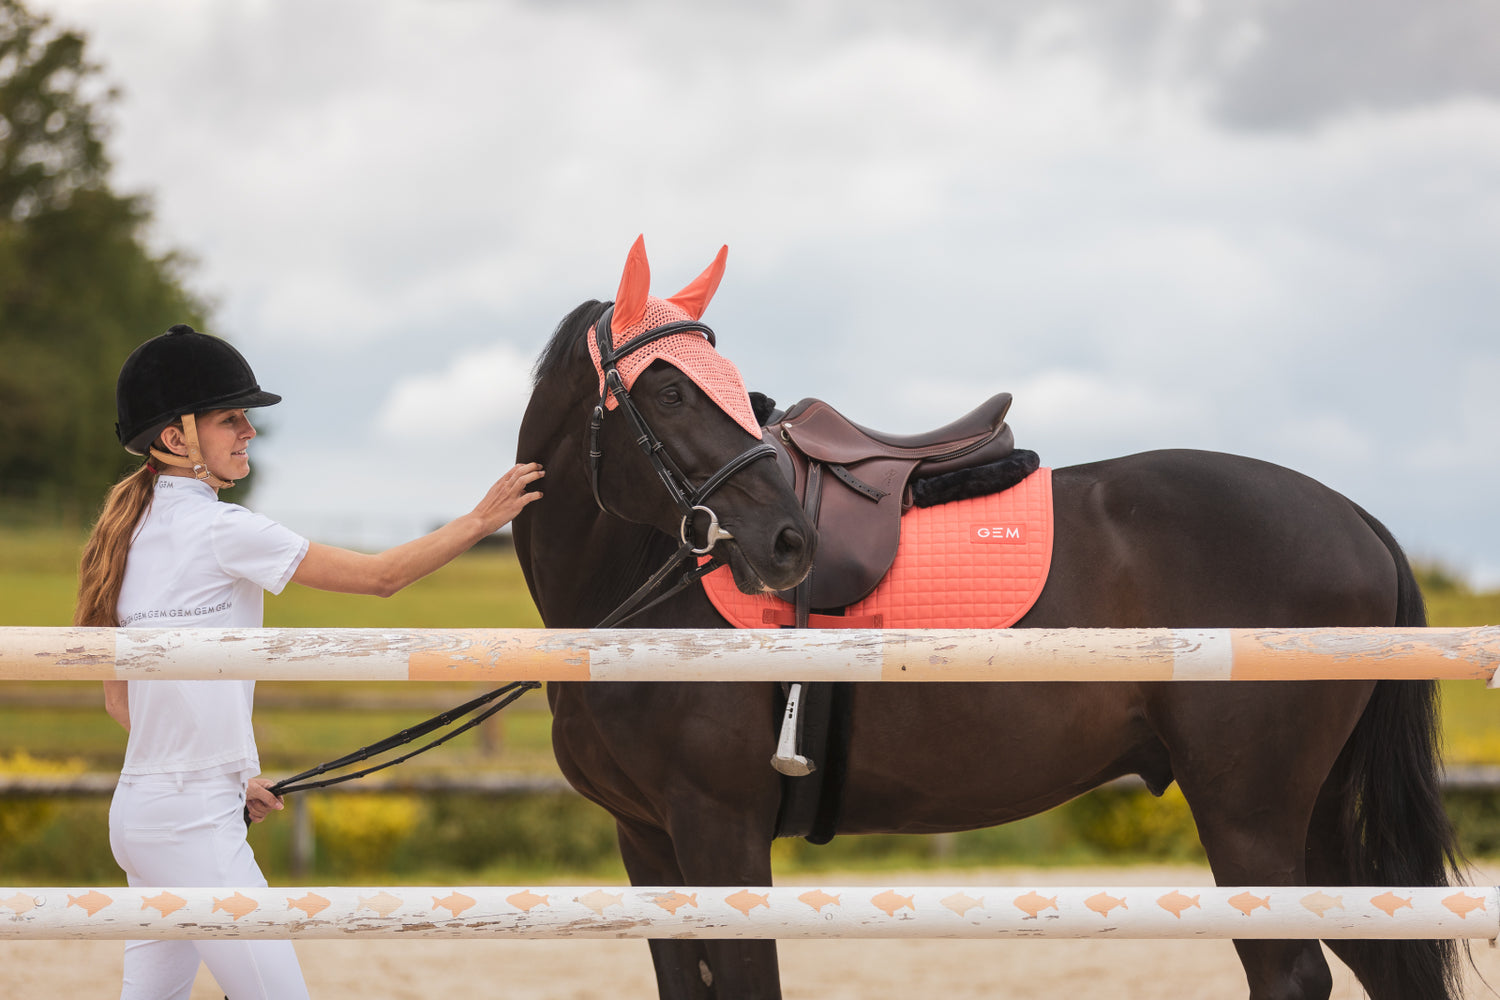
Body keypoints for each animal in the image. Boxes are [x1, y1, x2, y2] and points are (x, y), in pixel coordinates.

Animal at [516, 242, 1464, 1000]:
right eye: (670, 392)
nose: (789, 541)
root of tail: (1356, 518)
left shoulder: (720, 827)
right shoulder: (648, 841)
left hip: (1250, 812)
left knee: (1292, 972)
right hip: (1316, 817)